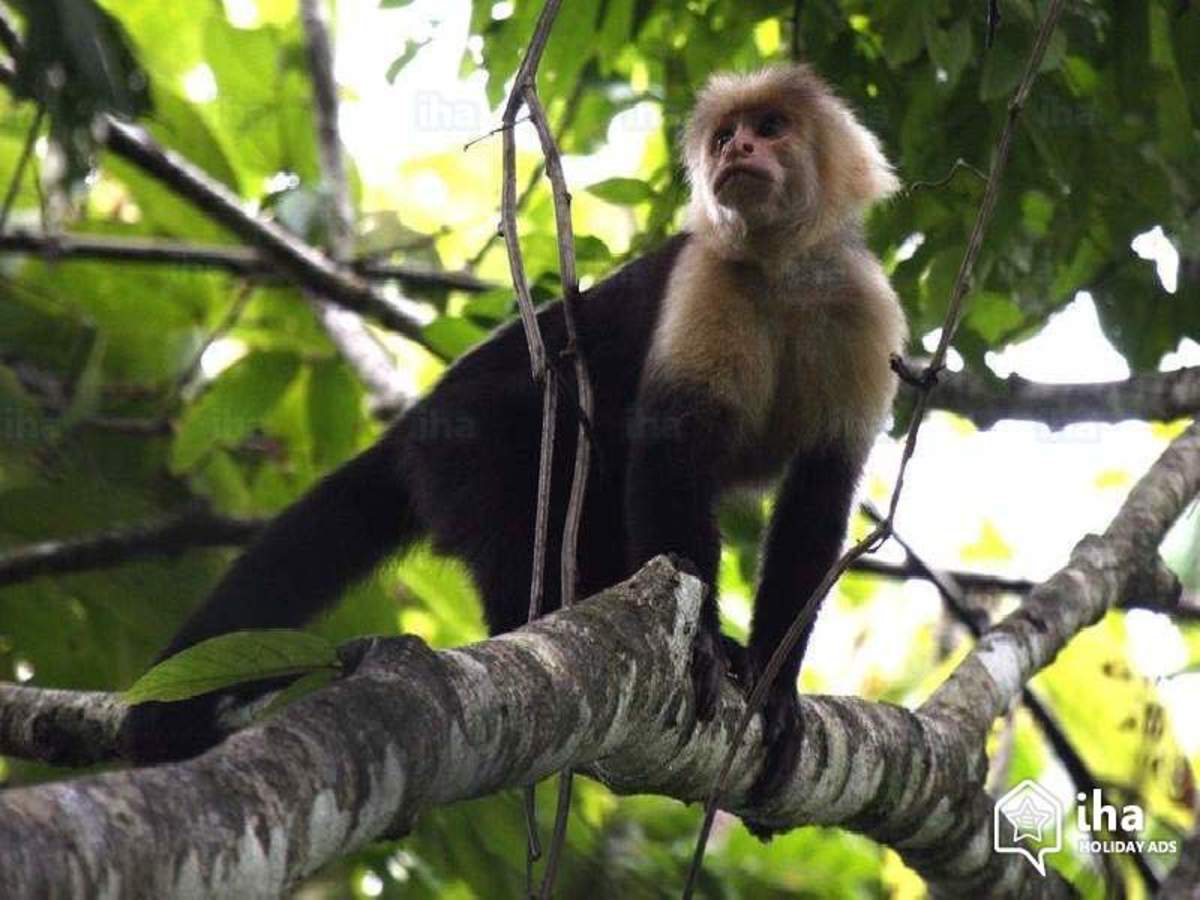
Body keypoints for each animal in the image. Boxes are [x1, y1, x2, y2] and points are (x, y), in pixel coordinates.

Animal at [121, 64, 907, 797]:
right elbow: (669, 453)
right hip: (462, 447)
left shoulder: (866, 306)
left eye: (769, 127)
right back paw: (541, 619)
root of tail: (417, 420)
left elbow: (819, 497)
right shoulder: (706, 278)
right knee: (526, 496)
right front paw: (707, 652)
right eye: (724, 137)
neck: (781, 273)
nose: (738, 149)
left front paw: (772, 680)